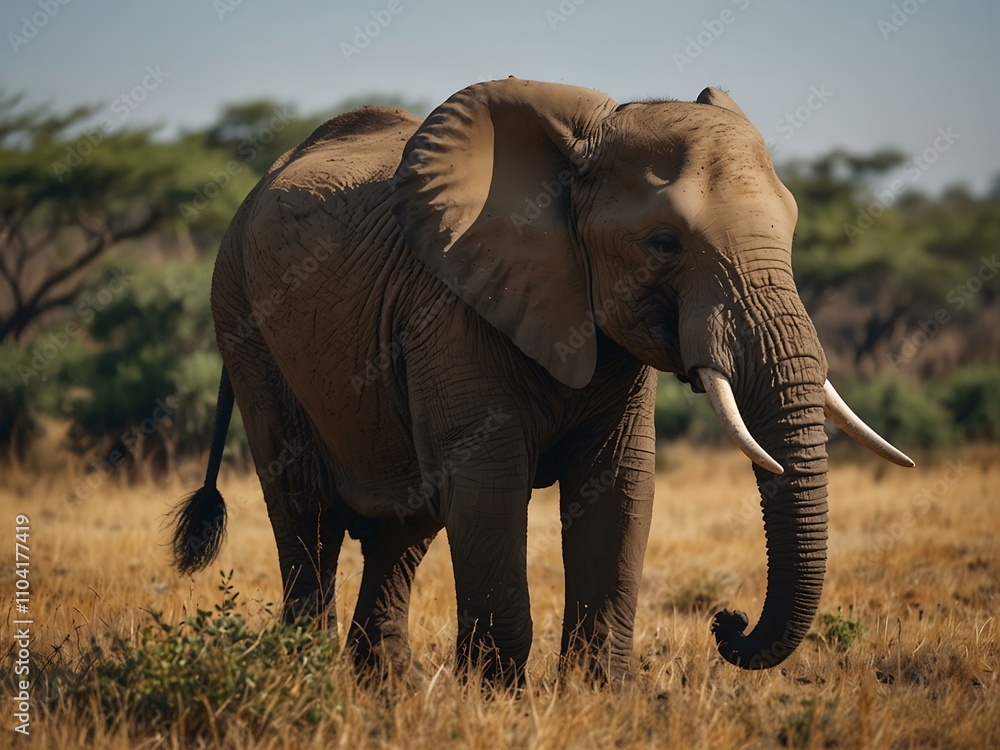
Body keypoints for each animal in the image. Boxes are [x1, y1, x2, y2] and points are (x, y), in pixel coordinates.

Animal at [171, 78, 913, 685]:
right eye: (664, 244)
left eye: (792, 233)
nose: (726, 624)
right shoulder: (451, 311)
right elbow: (488, 486)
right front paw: (495, 703)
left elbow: (619, 485)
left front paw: (600, 699)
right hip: (242, 319)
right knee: (306, 508)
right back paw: (306, 678)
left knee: (404, 521)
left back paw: (386, 691)